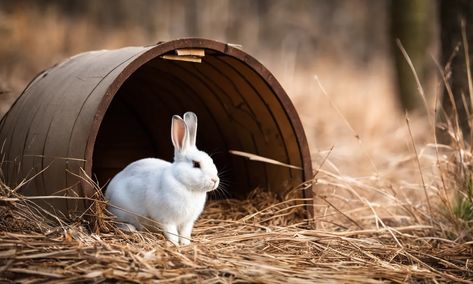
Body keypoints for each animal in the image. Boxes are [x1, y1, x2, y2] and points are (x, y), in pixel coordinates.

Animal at [104, 112, 218, 245]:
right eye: (196, 164)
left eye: (211, 160)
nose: (215, 180)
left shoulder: (187, 222)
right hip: (122, 212)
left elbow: (185, 234)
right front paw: (175, 244)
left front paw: (185, 244)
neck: (183, 183)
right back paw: (130, 228)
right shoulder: (167, 219)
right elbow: (172, 233)